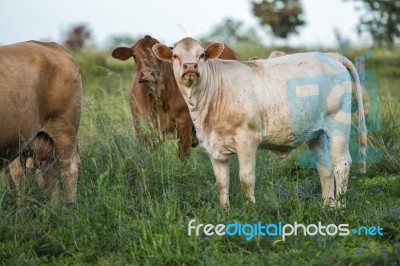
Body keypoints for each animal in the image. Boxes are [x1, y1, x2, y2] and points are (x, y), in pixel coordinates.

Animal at [111, 34, 239, 157]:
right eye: (135, 56)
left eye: (158, 58)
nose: (147, 74)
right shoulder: (141, 125)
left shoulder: (184, 122)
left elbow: (183, 154)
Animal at [152, 37, 366, 208]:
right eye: (175, 55)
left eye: (202, 55)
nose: (190, 66)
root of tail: (331, 55)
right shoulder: (213, 146)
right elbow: (222, 181)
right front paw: (224, 210)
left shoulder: (247, 140)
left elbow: (246, 178)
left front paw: (250, 209)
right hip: (316, 133)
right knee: (325, 167)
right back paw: (327, 206)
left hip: (338, 125)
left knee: (341, 164)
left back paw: (339, 206)